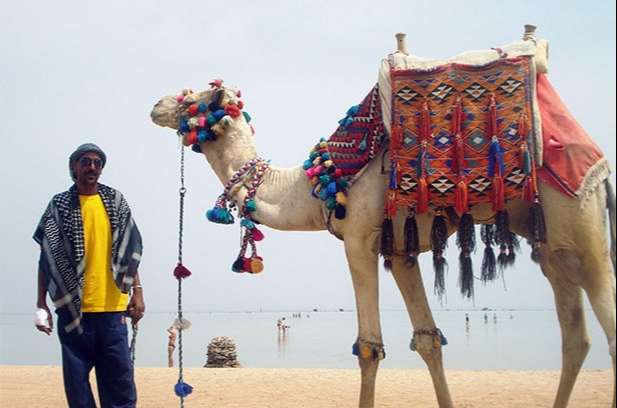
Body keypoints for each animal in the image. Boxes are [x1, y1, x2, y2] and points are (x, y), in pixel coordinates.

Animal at [150, 28, 616, 408]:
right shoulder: (401, 252)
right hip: (552, 245)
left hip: (581, 218)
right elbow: (429, 340)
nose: (156, 104)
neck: (318, 185)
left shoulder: (360, 236)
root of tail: (595, 157)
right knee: (575, 335)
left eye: (194, 98)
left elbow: (370, 346)